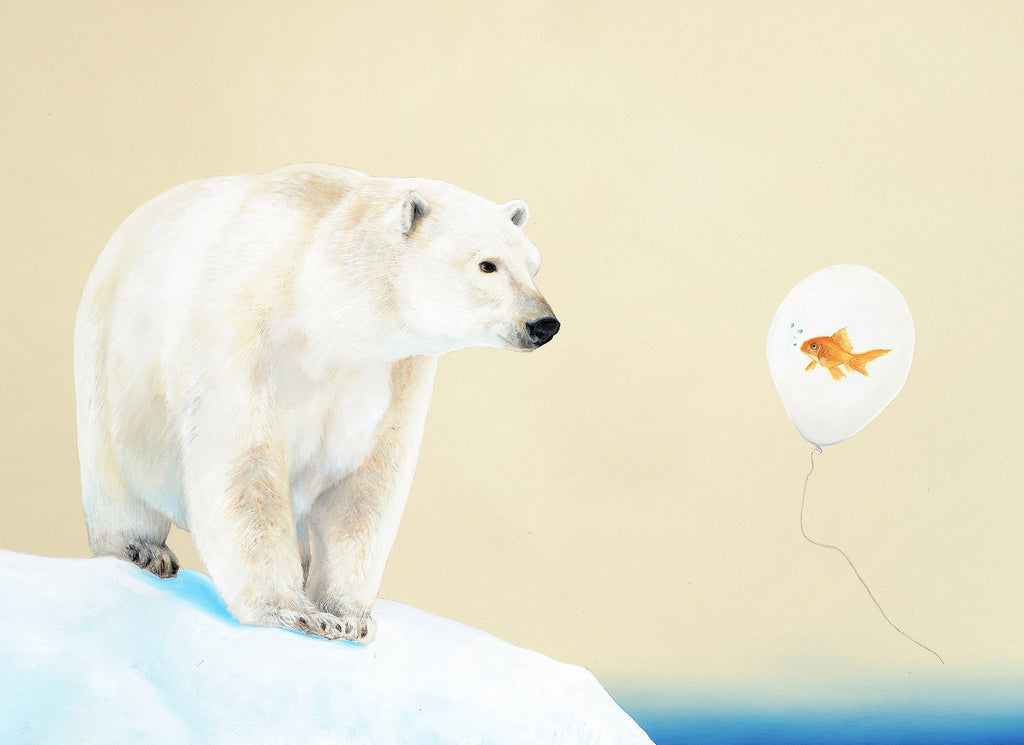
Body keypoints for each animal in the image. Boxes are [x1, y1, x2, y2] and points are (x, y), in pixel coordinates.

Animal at [74, 164, 559, 643]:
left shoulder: (395, 374)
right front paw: (295, 613)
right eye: (487, 264)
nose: (543, 324)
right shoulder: (241, 332)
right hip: (111, 367)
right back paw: (142, 549)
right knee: (117, 479)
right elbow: (245, 467)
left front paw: (348, 617)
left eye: (533, 264)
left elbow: (366, 489)